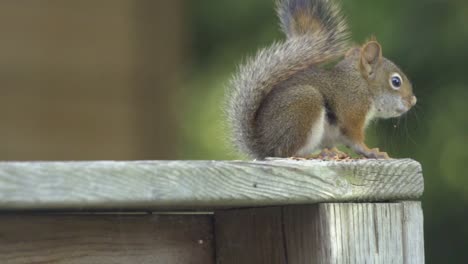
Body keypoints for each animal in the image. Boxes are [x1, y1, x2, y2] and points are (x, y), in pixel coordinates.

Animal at [226, 0, 416, 159]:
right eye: (396, 82)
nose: (412, 101)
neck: (361, 85)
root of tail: (263, 146)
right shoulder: (352, 111)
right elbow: (355, 140)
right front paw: (371, 152)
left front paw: (339, 152)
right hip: (304, 105)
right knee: (288, 153)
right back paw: (316, 155)